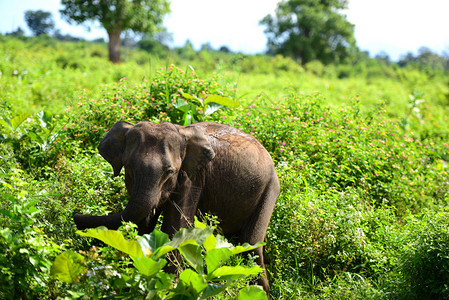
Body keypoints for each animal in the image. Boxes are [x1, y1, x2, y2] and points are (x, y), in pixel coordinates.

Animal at [73, 120, 280, 292]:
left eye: (169, 172)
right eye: (129, 167)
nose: (75, 215)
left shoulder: (192, 178)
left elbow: (176, 228)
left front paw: (168, 288)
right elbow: (144, 224)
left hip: (270, 189)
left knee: (252, 244)